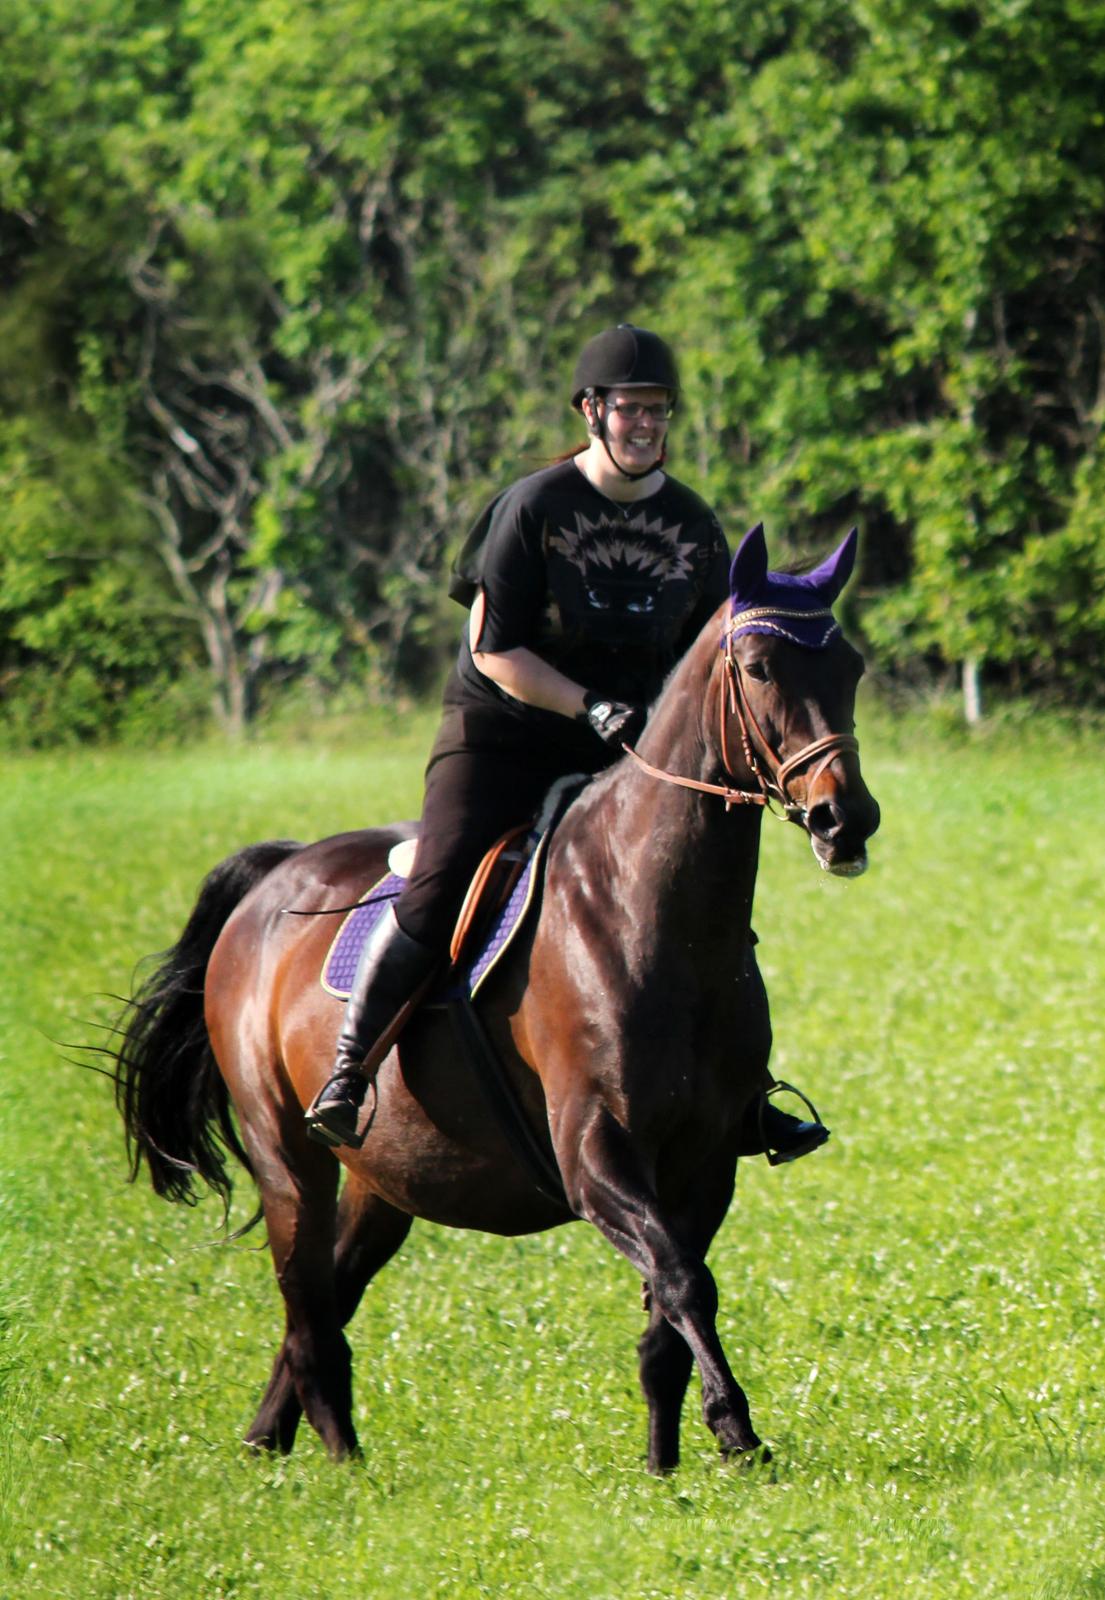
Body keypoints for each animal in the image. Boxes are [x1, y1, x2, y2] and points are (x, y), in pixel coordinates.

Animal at [112, 524, 882, 1472]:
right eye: (762, 667)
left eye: (849, 667)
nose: (845, 820)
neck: (654, 917)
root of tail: (273, 878)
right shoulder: (594, 1156)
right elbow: (681, 1282)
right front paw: (735, 1430)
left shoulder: (703, 1163)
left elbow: (667, 1310)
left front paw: (665, 1461)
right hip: (287, 1155)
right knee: (307, 1307)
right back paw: (344, 1463)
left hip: (382, 1182)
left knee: (327, 1296)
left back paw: (268, 1441)